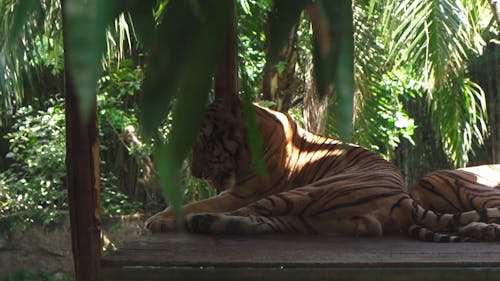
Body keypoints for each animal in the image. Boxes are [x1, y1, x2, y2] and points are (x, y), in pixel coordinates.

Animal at [145, 97, 500, 241]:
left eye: (205, 142)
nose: (195, 172)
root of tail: (401, 197)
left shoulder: (241, 192)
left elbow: (199, 201)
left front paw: (159, 219)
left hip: (304, 194)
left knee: (248, 213)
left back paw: (190, 222)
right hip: (308, 219)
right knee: (258, 222)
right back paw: (207, 224)